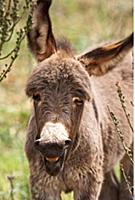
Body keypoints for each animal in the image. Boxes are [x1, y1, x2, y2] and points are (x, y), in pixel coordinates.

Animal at [25, 0, 133, 199]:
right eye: (36, 96)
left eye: (79, 100)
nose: (52, 145)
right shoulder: (42, 183)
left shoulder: (88, 183)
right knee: (112, 189)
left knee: (126, 189)